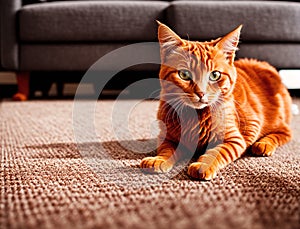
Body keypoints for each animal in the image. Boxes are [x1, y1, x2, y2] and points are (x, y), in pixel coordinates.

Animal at [139, 22, 292, 180]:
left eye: (215, 75)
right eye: (184, 74)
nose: (201, 93)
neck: (197, 116)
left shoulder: (234, 140)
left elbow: (216, 153)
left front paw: (203, 165)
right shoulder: (168, 137)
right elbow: (166, 150)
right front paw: (159, 159)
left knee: (285, 133)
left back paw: (264, 144)